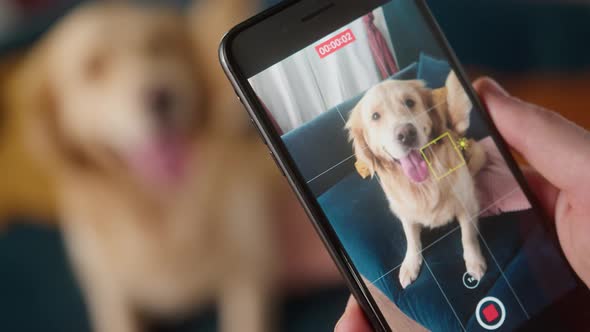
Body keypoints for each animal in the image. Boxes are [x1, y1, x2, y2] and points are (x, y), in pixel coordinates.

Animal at [9, 1, 298, 330]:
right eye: (92, 68)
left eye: (159, 45)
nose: (161, 96)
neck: (161, 211)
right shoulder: (111, 294)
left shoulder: (249, 273)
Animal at [350, 72, 488, 288]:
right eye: (375, 116)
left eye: (410, 102)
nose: (406, 134)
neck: (424, 184)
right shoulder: (405, 212)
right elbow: (411, 239)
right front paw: (410, 264)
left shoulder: (466, 205)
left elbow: (468, 236)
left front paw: (474, 262)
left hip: (479, 155)